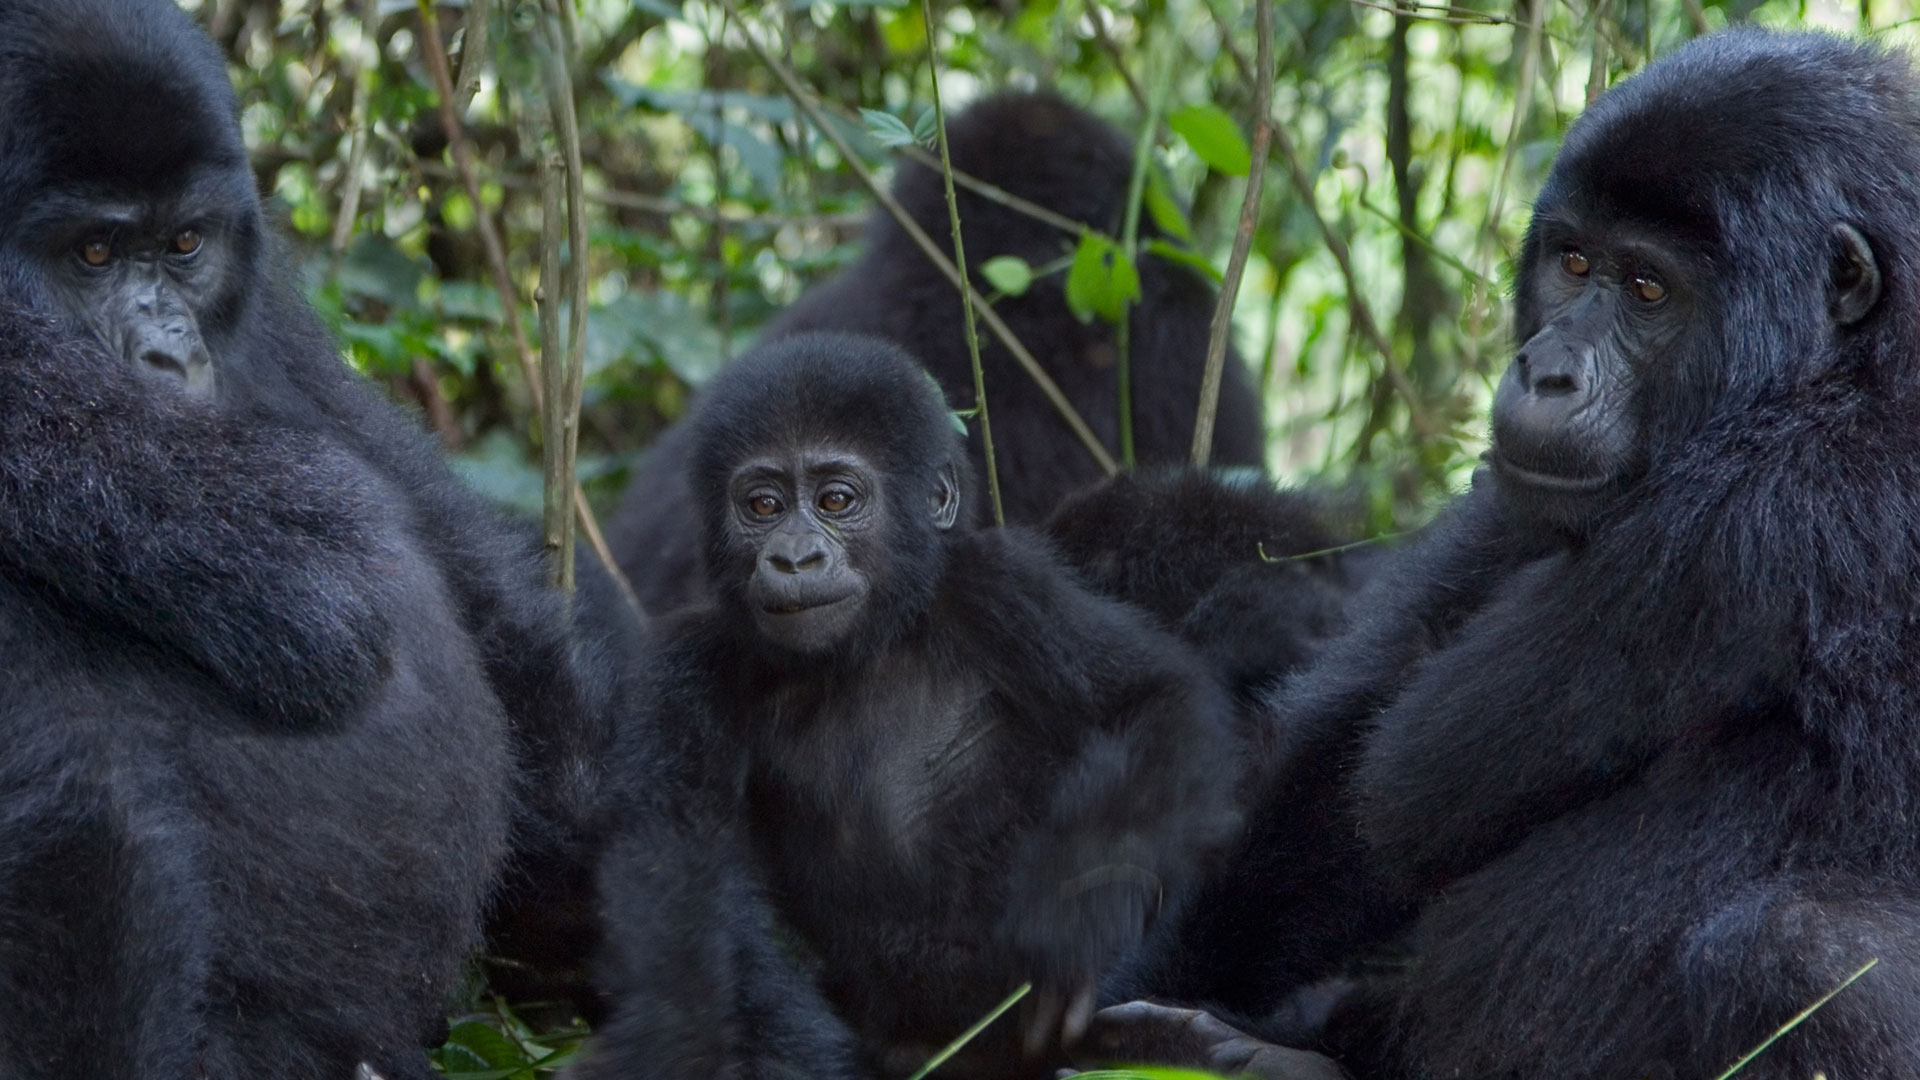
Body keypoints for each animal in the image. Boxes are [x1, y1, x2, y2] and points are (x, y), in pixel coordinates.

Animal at [583, 332, 1244, 1068]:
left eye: (836, 500)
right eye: (763, 507)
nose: (794, 558)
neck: (866, 649)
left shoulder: (998, 583)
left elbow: (1150, 698)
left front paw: (1080, 917)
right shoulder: (688, 665)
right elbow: (674, 866)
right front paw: (676, 1040)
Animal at [1090, 25, 1920, 1076]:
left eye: (1648, 287)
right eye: (1573, 262)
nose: (1545, 371)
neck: (1851, 362)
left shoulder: (1774, 509)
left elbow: (1407, 781)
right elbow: (1345, 763)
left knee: (1801, 951)